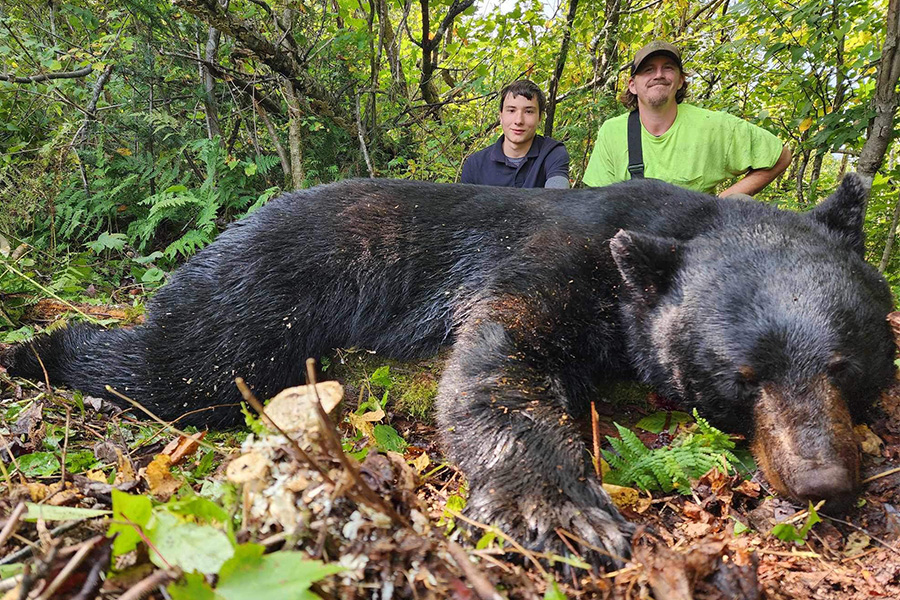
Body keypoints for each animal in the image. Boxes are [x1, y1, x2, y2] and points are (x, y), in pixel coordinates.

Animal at [2, 174, 895, 569]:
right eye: (742, 375)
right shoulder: (557, 262)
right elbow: (501, 359)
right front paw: (559, 509)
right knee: (174, 368)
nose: (820, 480)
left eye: (846, 363)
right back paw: (34, 350)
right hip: (256, 294)